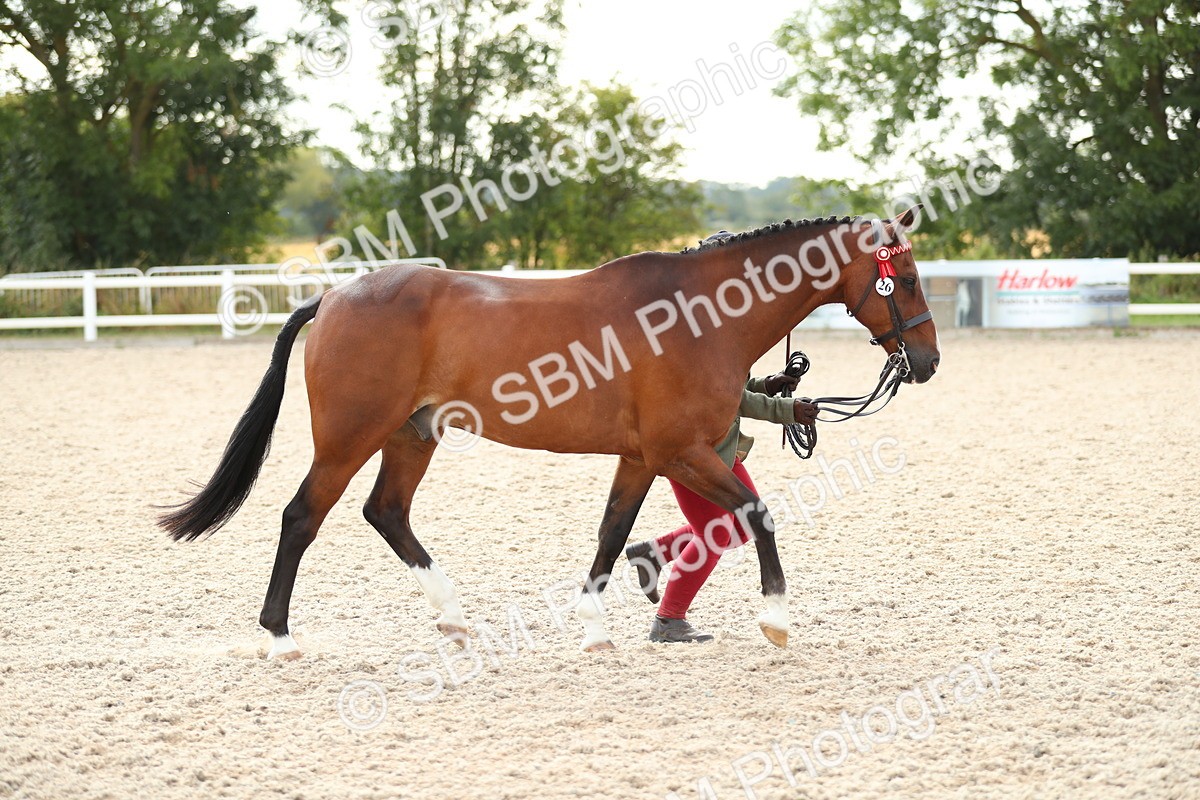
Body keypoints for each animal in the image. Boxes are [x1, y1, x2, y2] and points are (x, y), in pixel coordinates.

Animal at [158, 207, 940, 658]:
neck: (700, 314)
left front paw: (595, 627)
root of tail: (333, 296)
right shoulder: (681, 452)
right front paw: (775, 619)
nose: (927, 361)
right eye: (902, 279)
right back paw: (280, 639)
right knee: (302, 518)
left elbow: (612, 534)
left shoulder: (642, 457)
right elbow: (758, 512)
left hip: (412, 435)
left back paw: (455, 620)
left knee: (386, 513)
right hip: (350, 438)